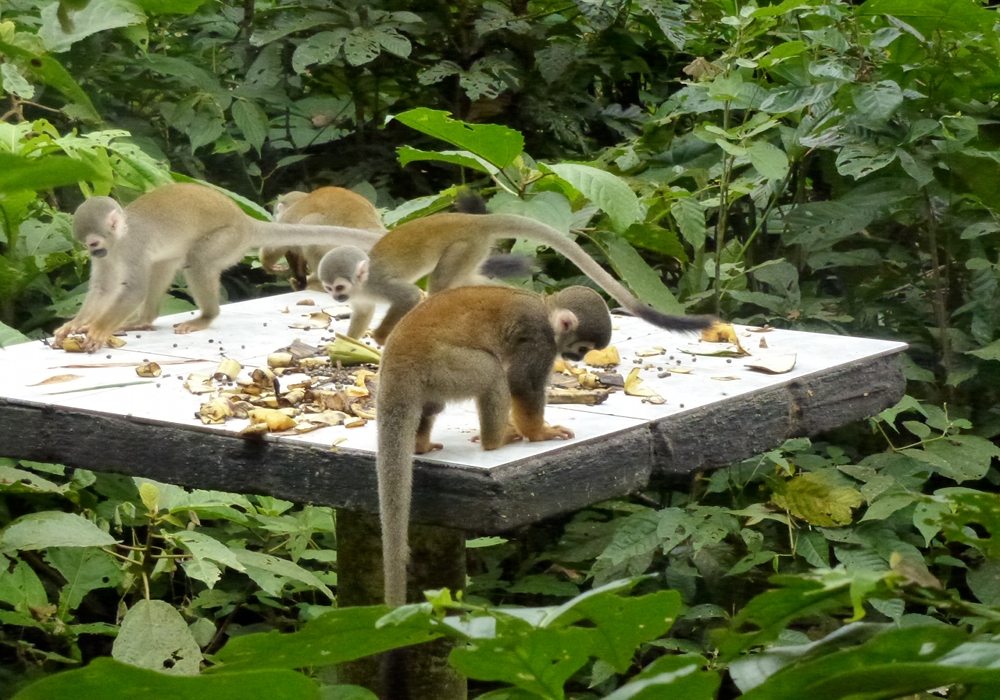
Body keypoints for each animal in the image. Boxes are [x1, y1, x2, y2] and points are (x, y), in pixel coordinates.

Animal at [52, 183, 384, 352]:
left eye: (94, 243)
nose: (96, 253)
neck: (119, 240)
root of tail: (244, 222)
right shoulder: (112, 255)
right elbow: (104, 287)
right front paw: (77, 325)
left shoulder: (133, 246)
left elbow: (132, 290)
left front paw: (98, 328)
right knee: (165, 265)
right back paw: (145, 320)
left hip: (228, 238)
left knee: (198, 260)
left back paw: (206, 317)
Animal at [316, 211, 716, 348]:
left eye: (339, 287)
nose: (336, 299)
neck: (363, 282)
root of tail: (474, 219)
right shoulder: (363, 297)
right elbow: (363, 313)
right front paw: (349, 342)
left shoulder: (379, 284)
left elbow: (408, 297)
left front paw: (380, 339)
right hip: (474, 249)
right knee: (467, 278)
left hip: (464, 244)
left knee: (440, 285)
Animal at [374, 284, 608, 608]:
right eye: (584, 347)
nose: (579, 358)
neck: (544, 308)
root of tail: (396, 358)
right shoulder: (538, 338)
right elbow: (521, 383)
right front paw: (539, 433)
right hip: (442, 365)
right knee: (492, 371)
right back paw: (495, 440)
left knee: (432, 403)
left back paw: (420, 444)